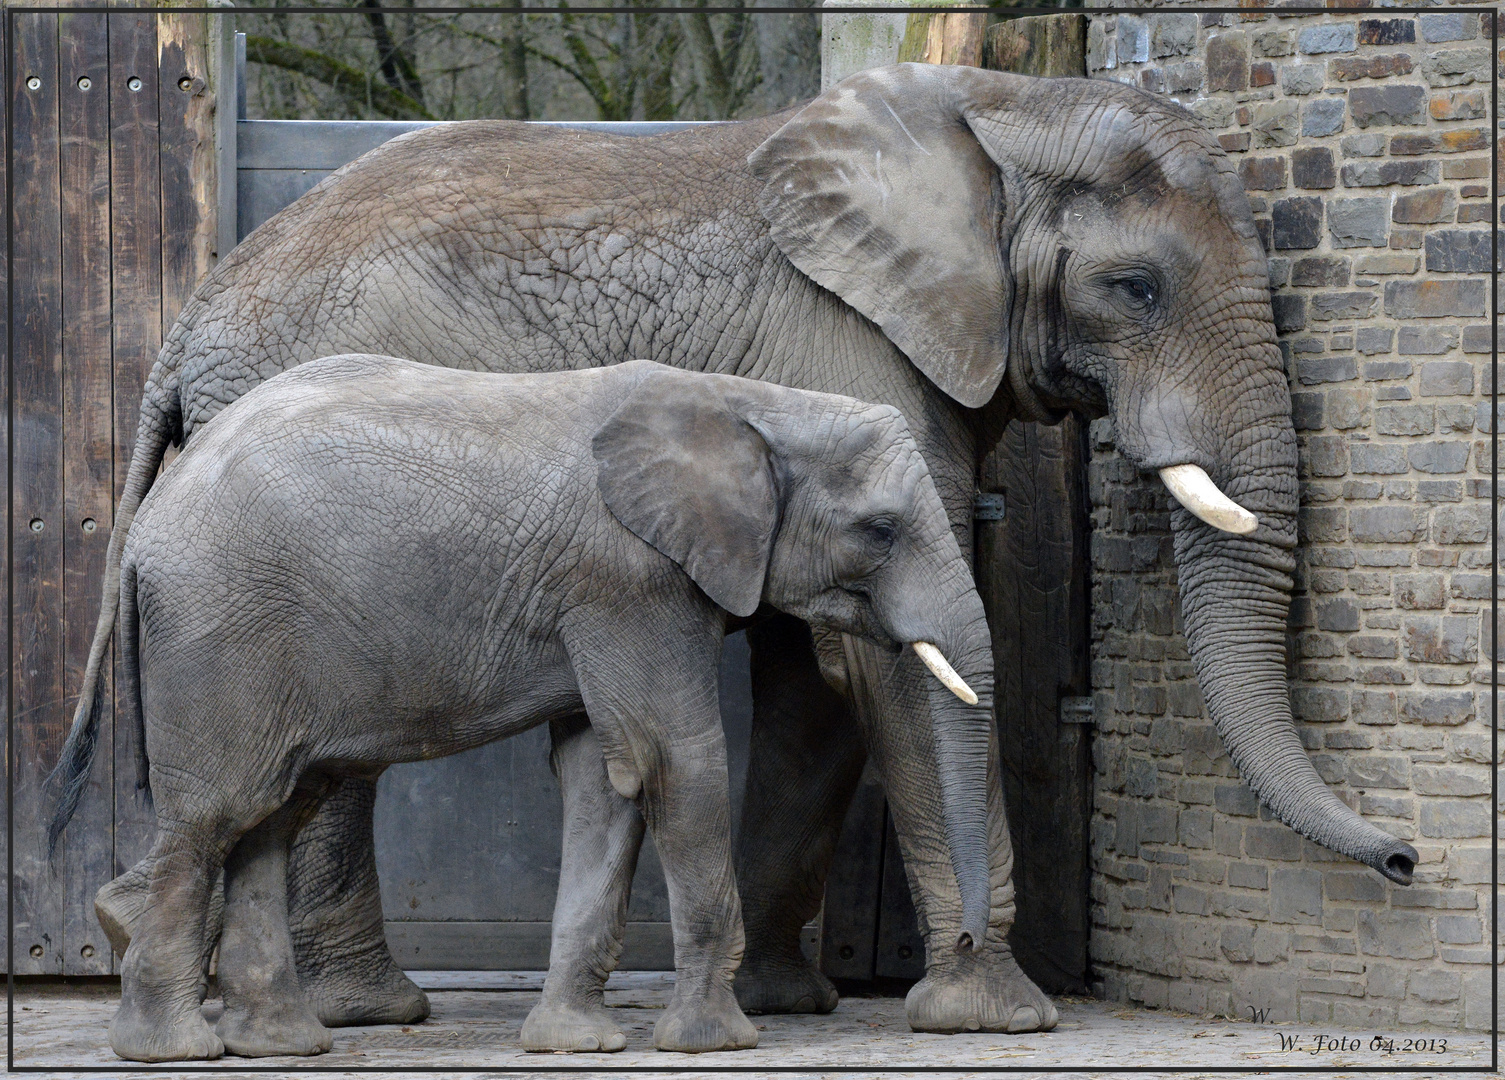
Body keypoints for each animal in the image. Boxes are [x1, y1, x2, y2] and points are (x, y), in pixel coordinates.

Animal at [47, 357, 993, 1064]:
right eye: (879, 530)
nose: (965, 951)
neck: (754, 402)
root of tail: (141, 530)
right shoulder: (629, 580)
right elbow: (674, 761)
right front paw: (715, 1043)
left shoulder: (607, 598)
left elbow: (603, 780)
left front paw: (577, 1043)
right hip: (219, 634)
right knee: (217, 815)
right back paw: (170, 1049)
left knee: (272, 817)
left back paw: (280, 1045)